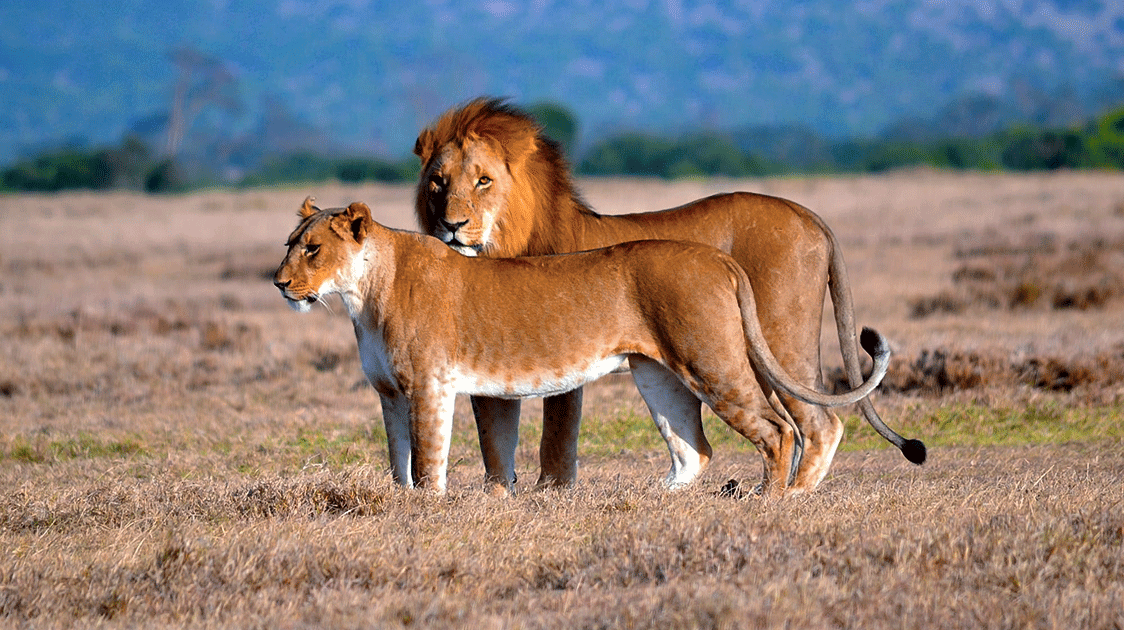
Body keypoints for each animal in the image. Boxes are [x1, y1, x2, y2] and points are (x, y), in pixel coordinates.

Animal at [273, 198, 906, 495]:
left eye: (312, 249)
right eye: (289, 245)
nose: (279, 283)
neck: (361, 294)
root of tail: (717, 259)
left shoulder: (429, 385)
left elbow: (428, 462)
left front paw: (428, 513)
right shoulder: (389, 394)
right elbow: (398, 461)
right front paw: (402, 507)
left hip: (712, 359)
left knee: (782, 429)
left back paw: (768, 501)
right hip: (658, 374)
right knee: (693, 449)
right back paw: (648, 502)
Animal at [414, 98, 926, 494]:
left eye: (483, 180)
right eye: (438, 182)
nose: (452, 225)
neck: (505, 240)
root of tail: (809, 214)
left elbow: (555, 439)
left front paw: (550, 494)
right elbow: (494, 437)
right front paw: (498, 496)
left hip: (781, 341)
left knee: (819, 425)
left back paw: (790, 494)